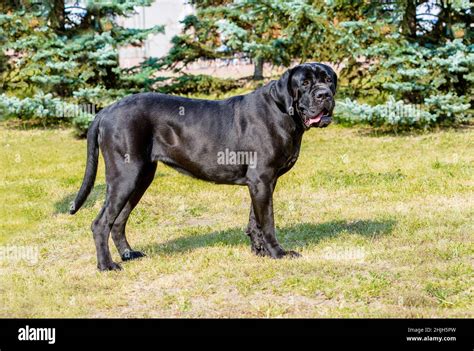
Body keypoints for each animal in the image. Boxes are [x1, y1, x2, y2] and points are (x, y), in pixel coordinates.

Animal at [70, 62, 336, 272]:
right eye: (305, 83)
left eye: (328, 80)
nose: (324, 95)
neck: (282, 110)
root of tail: (106, 111)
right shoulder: (262, 179)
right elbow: (268, 222)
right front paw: (278, 253)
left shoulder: (260, 182)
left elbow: (255, 220)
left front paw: (259, 251)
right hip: (125, 176)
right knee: (101, 223)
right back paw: (106, 265)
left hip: (140, 178)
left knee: (118, 221)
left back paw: (128, 254)